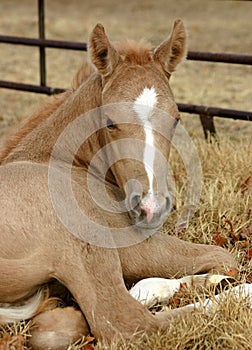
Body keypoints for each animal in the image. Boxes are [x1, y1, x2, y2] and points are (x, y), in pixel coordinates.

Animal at [0, 20, 236, 346]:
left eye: (176, 119)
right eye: (110, 122)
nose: (151, 208)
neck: (58, 159)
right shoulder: (130, 244)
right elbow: (225, 256)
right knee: (127, 321)